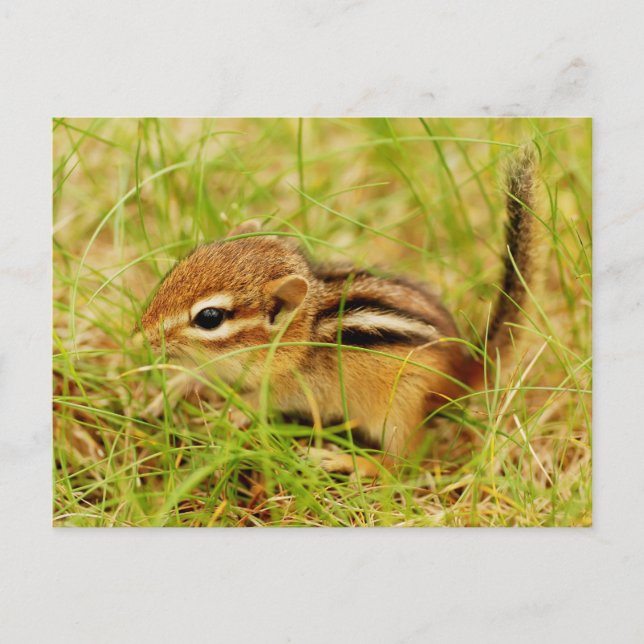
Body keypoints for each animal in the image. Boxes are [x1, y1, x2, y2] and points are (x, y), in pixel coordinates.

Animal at [138, 146, 539, 477]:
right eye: (183, 265)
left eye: (210, 318)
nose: (143, 336)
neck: (300, 334)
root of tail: (466, 368)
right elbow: (200, 375)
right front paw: (170, 391)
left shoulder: (297, 388)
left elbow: (263, 401)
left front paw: (231, 413)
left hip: (400, 407)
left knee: (401, 463)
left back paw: (342, 460)